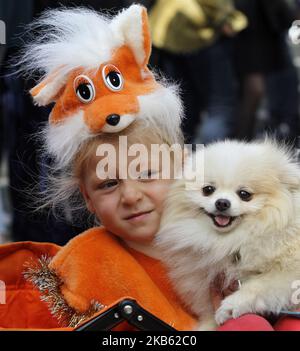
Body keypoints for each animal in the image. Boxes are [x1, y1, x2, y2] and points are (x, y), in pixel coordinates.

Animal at [156, 139, 300, 332]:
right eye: (208, 189)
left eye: (244, 194)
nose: (222, 203)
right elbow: (209, 320)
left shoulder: (289, 272)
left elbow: (258, 285)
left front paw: (231, 306)